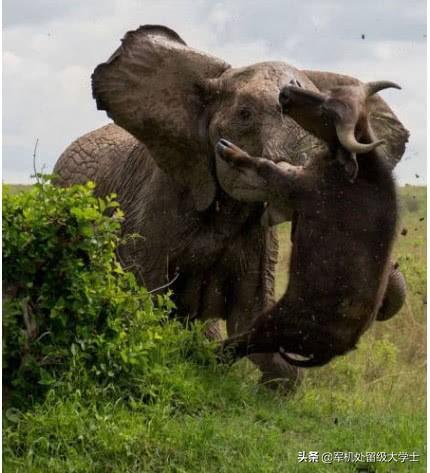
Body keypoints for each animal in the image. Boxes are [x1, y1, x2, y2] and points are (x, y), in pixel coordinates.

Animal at [218, 77, 406, 366]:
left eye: (327, 113)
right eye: (327, 93)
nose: (286, 93)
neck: (357, 173)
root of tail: (339, 348)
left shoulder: (297, 186)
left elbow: (265, 166)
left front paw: (231, 150)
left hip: (272, 324)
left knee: (237, 344)